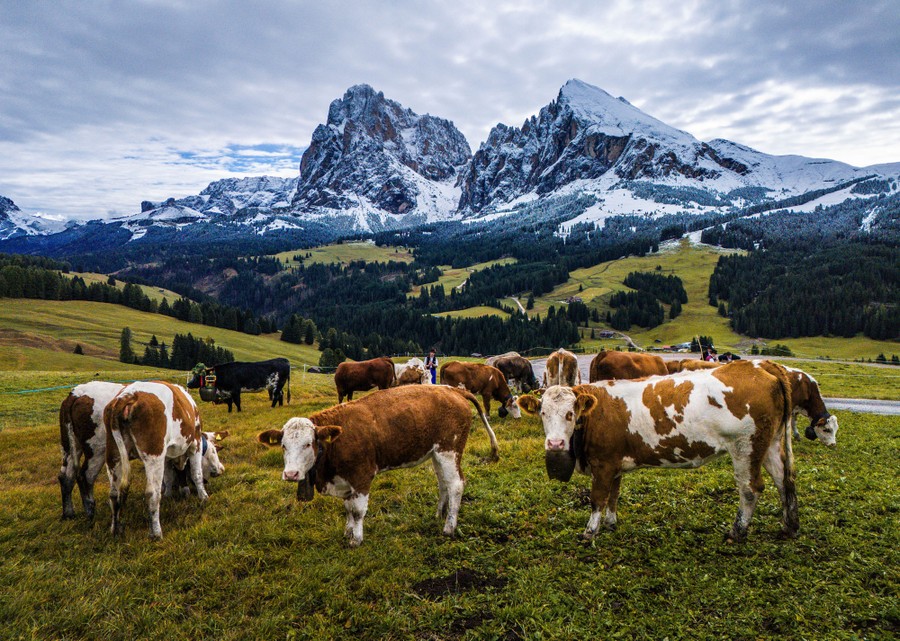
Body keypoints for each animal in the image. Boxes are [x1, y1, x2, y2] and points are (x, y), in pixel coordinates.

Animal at [105, 381, 209, 539]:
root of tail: (128, 395)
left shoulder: (166, 456)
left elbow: (168, 477)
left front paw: (169, 494)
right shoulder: (195, 443)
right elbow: (197, 474)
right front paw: (203, 496)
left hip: (113, 454)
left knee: (114, 493)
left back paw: (115, 528)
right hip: (154, 454)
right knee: (152, 493)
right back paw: (156, 532)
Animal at [257, 385, 499, 547]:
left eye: (308, 444)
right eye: (283, 446)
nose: (291, 474)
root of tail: (453, 390)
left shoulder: (361, 476)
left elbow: (357, 511)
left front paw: (356, 539)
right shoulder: (346, 480)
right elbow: (348, 508)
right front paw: (348, 532)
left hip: (449, 451)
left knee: (456, 484)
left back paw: (449, 527)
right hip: (437, 454)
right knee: (443, 483)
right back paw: (439, 513)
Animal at [518, 360, 798, 543]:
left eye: (570, 413)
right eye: (543, 413)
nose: (555, 444)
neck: (595, 415)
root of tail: (758, 366)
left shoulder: (603, 464)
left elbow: (598, 499)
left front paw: (590, 532)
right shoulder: (614, 463)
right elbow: (613, 496)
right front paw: (610, 523)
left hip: (745, 445)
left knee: (750, 489)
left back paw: (737, 532)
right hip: (770, 444)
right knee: (783, 480)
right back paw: (789, 526)